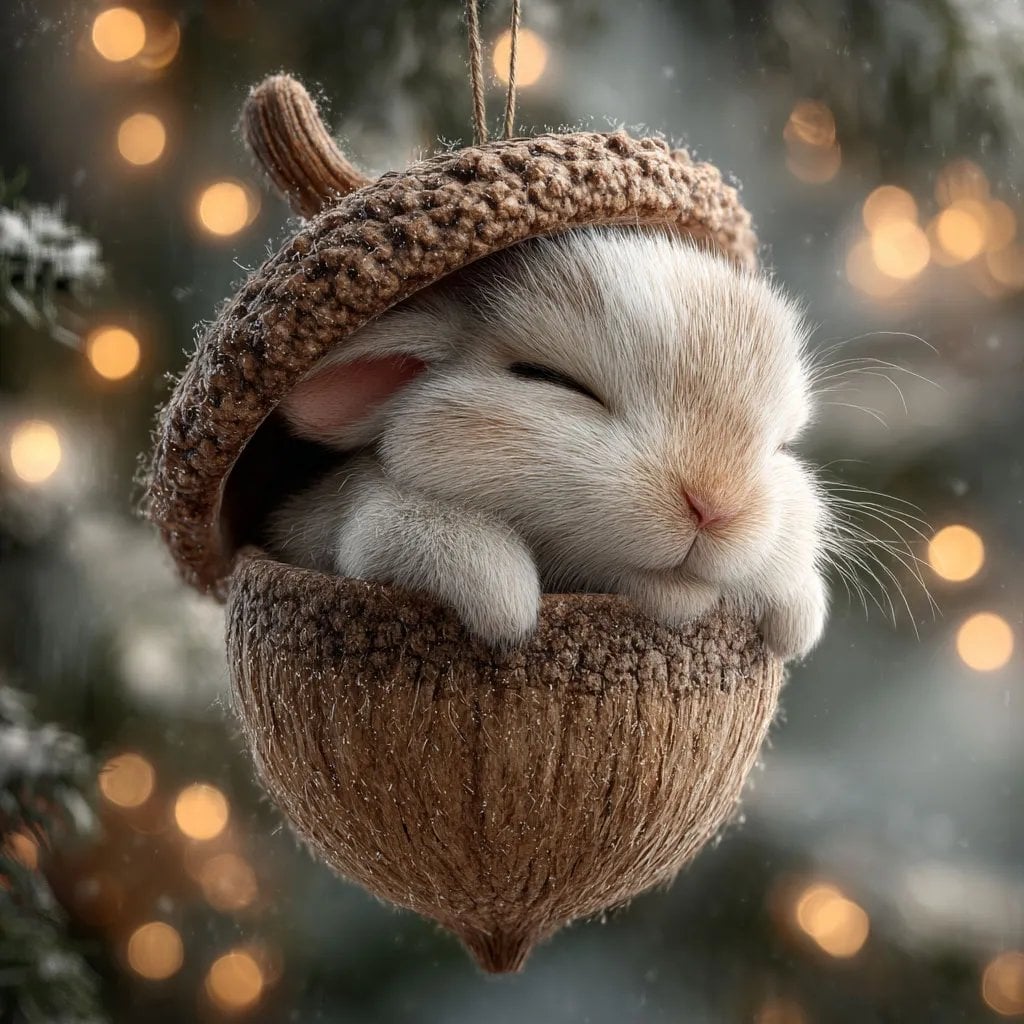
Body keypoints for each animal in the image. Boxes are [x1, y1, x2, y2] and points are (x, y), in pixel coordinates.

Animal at [267, 226, 828, 660]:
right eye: (551, 379)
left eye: (781, 446)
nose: (714, 506)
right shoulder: (357, 523)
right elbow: (397, 528)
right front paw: (503, 600)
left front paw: (797, 610)